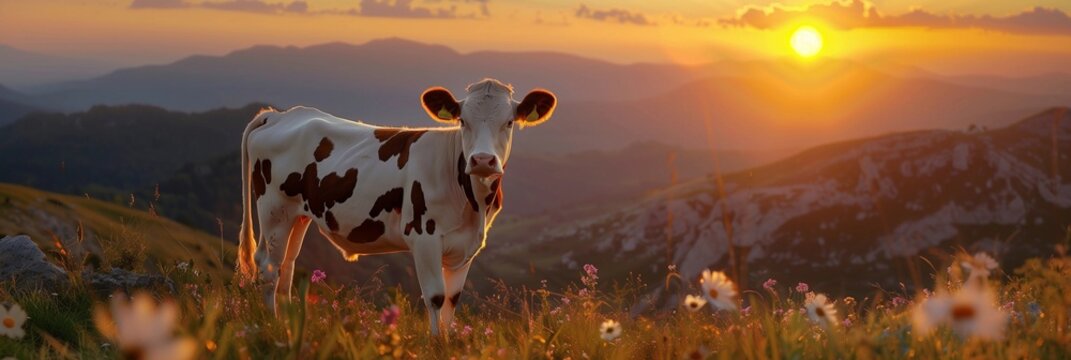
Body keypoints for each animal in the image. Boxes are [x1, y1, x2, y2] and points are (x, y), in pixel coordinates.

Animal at [237, 78, 556, 334]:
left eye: (509, 122)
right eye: (462, 121)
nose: (482, 160)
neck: (472, 205)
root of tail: (279, 115)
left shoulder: (467, 246)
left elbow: (452, 300)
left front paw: (449, 341)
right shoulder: (423, 237)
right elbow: (435, 297)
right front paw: (436, 344)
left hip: (297, 214)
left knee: (286, 267)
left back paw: (287, 325)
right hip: (274, 210)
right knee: (269, 267)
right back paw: (273, 326)